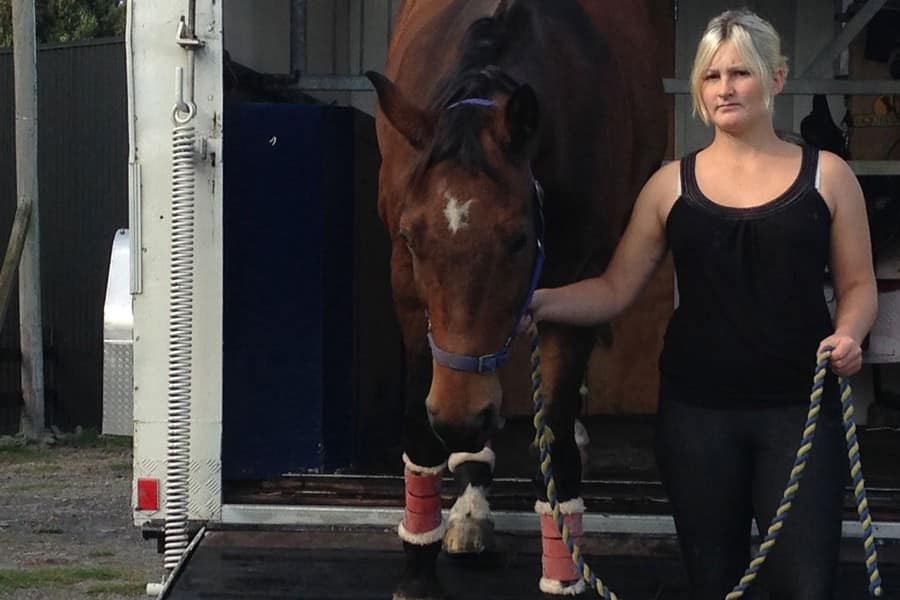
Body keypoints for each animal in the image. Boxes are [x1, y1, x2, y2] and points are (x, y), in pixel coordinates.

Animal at [366, 1, 665, 597]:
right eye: (411, 237)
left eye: (519, 240)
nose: (459, 417)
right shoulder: (406, 288)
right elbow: (421, 431)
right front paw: (419, 567)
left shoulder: (580, 280)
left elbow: (557, 445)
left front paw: (564, 577)